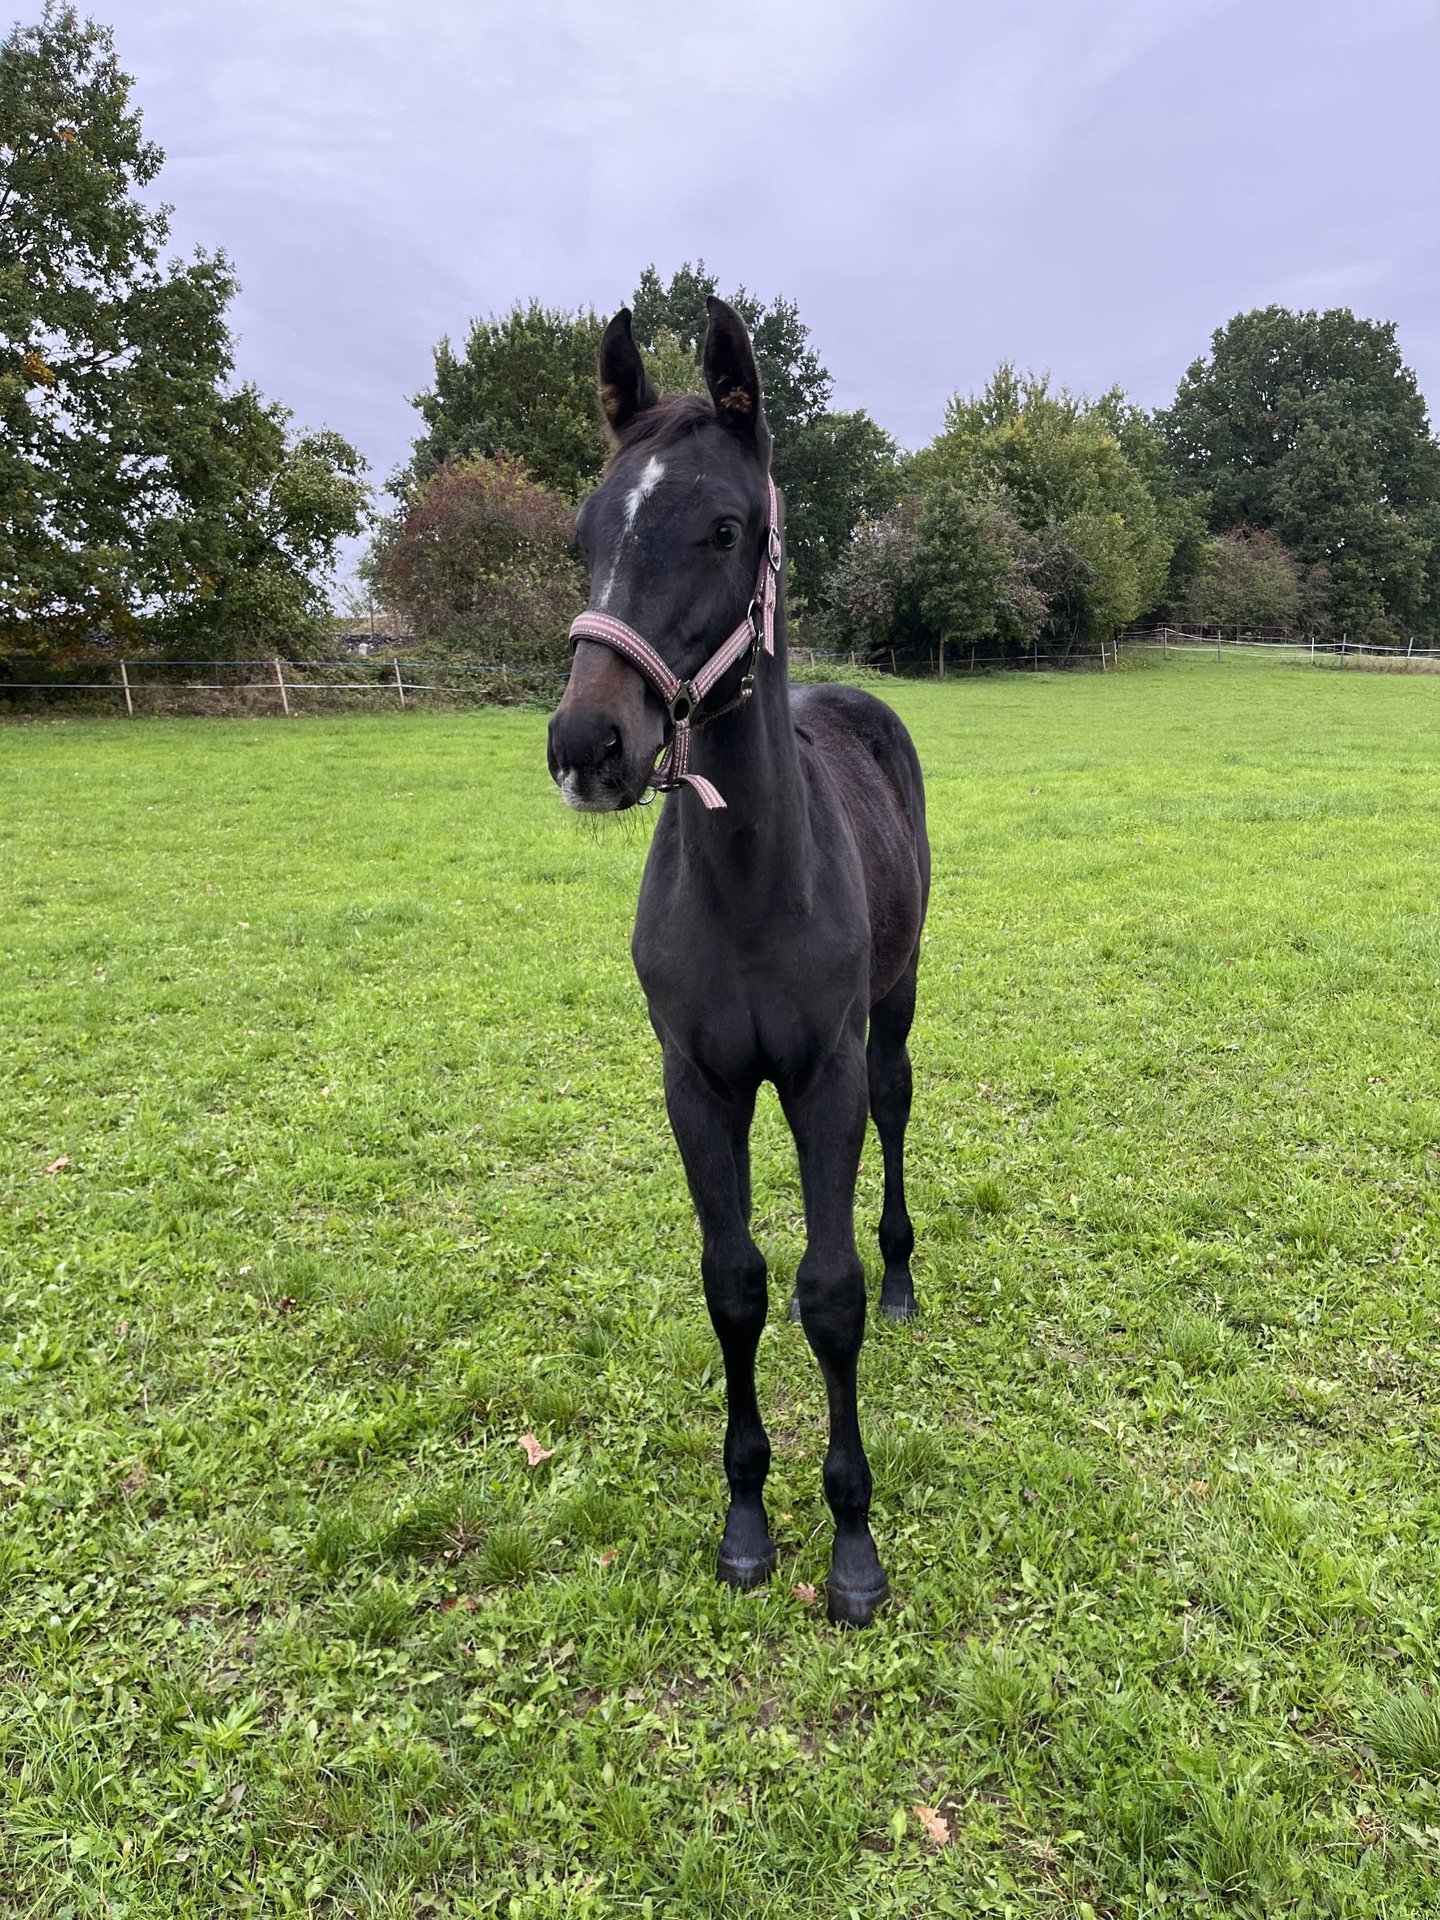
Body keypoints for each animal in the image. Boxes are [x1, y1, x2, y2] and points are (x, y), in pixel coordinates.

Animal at [546, 297, 930, 1626]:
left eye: (723, 527)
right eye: (584, 535)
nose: (587, 744)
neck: (753, 880)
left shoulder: (821, 1078)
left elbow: (830, 1293)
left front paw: (855, 1544)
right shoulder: (698, 1085)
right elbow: (737, 1284)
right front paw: (748, 1522)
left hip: (895, 1011)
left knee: (900, 1111)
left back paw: (912, 1279)